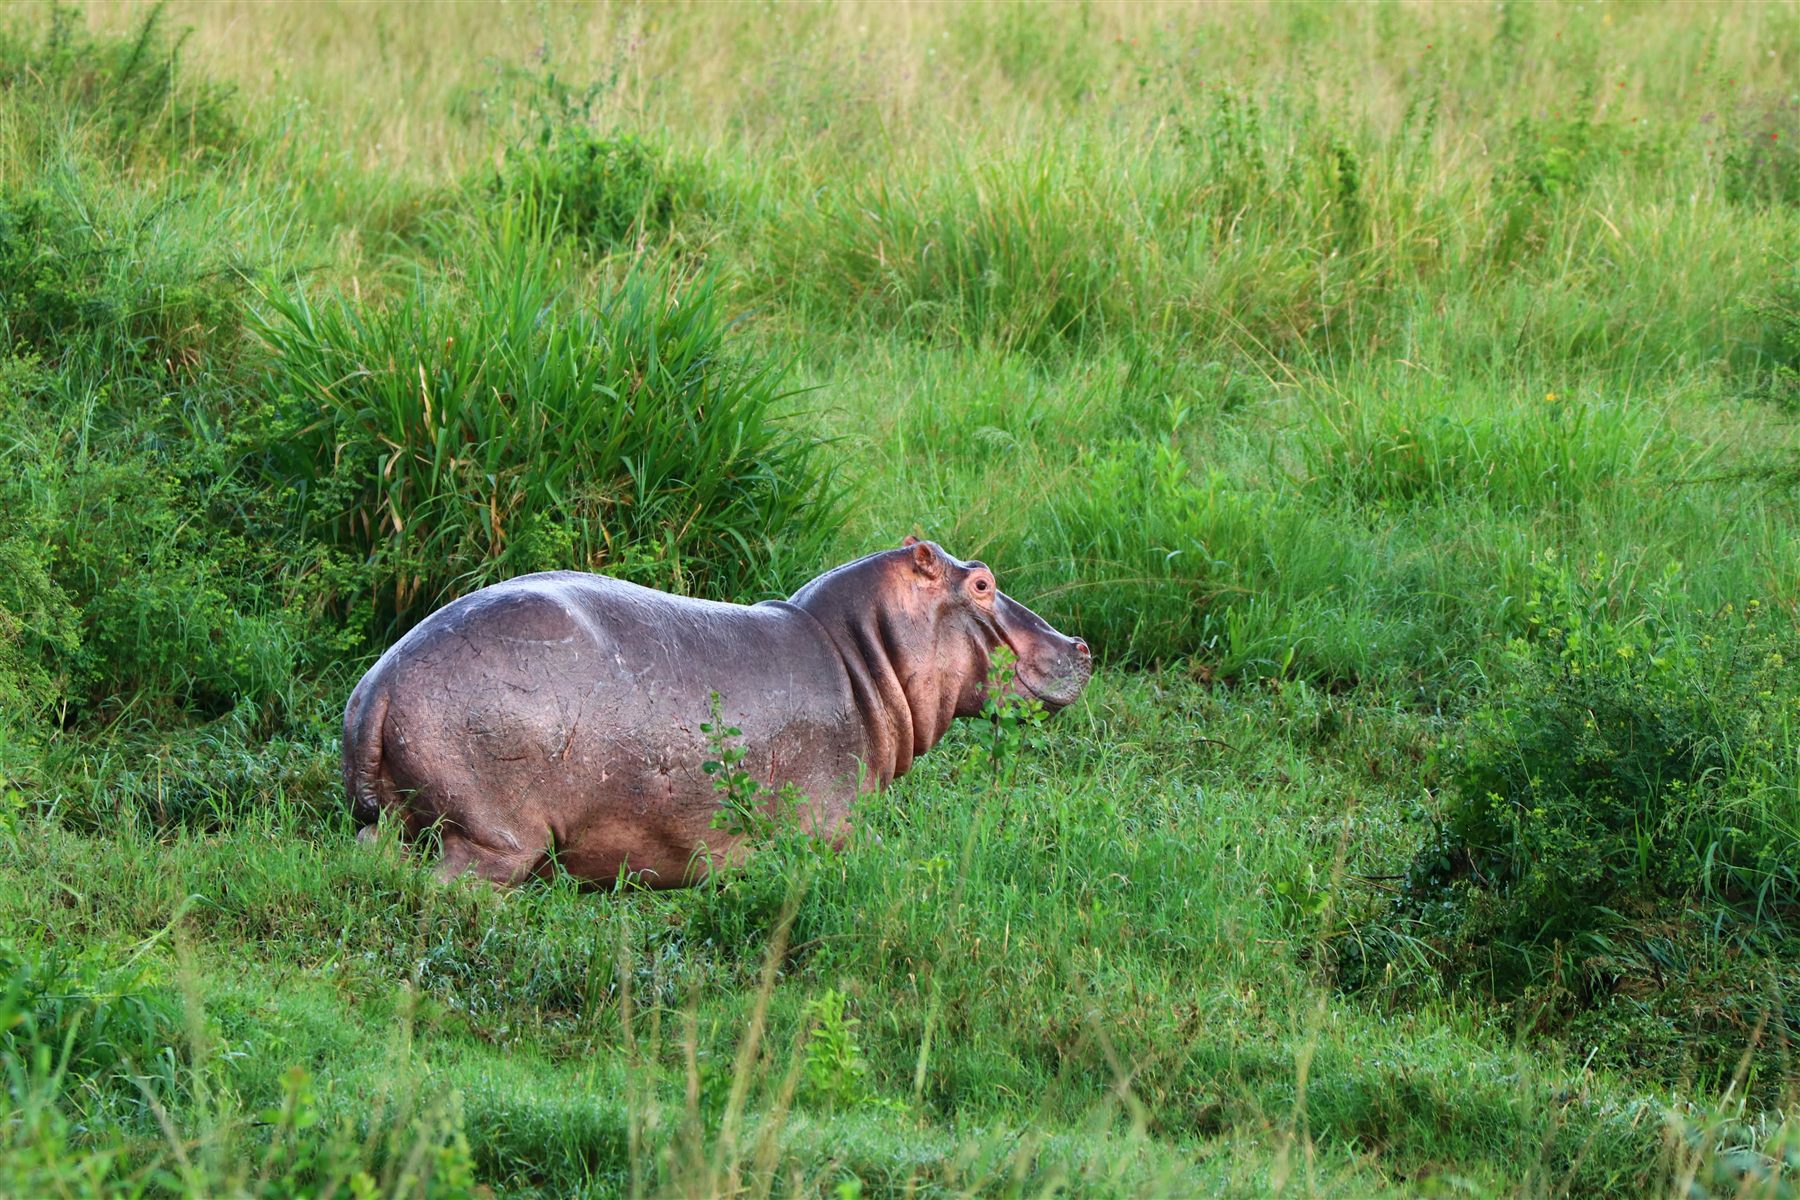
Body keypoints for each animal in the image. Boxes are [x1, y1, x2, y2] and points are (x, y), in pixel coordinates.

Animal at [342, 538, 1090, 886]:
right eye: (983, 583)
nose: (1081, 645)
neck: (860, 656)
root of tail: (379, 683)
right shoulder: (831, 828)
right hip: (492, 835)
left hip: (397, 816)